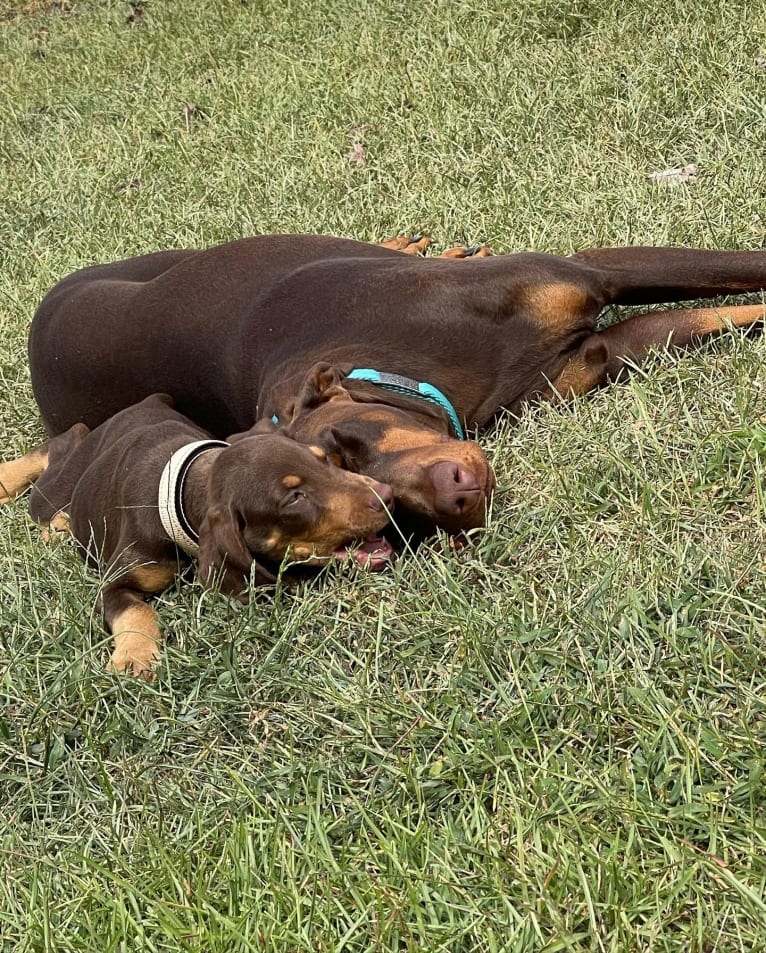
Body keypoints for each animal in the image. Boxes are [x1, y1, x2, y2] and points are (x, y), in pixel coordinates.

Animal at [21, 394, 396, 676]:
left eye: (324, 460)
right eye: (294, 498)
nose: (388, 495)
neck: (181, 485)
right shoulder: (115, 583)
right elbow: (137, 611)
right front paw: (135, 658)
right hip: (56, 488)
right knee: (61, 446)